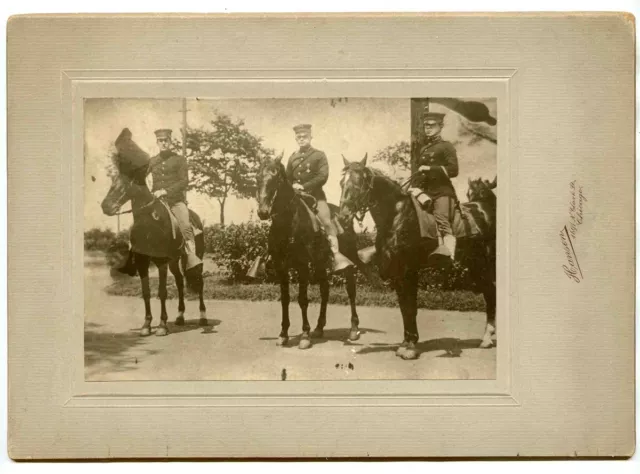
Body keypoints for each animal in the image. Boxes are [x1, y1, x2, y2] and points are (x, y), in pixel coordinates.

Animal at [101, 156, 208, 336]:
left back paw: (203, 317)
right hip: (174, 261)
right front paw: (146, 325)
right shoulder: (143, 263)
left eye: (124, 184)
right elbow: (146, 293)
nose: (105, 206)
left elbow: (162, 292)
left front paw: (162, 325)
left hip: (195, 257)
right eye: (113, 181)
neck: (149, 223)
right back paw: (180, 316)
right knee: (179, 282)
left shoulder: (162, 263)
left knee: (199, 283)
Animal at [255, 152, 364, 348]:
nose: (263, 212)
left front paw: (305, 335)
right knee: (325, 290)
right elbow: (285, 299)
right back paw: (319, 327)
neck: (288, 222)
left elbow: (302, 299)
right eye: (258, 177)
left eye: (276, 177)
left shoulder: (302, 266)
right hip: (320, 263)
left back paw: (353, 329)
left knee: (351, 290)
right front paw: (283, 334)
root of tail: (345, 215)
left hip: (347, 262)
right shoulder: (281, 267)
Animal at [340, 155, 496, 360]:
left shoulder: (409, 271)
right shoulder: (398, 273)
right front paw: (406, 343)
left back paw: (488, 338)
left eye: (359, 183)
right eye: (341, 183)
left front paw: (411, 347)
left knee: (491, 292)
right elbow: (404, 308)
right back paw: (487, 338)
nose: (342, 216)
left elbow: (410, 308)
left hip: (485, 263)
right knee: (489, 292)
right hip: (475, 265)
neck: (397, 216)